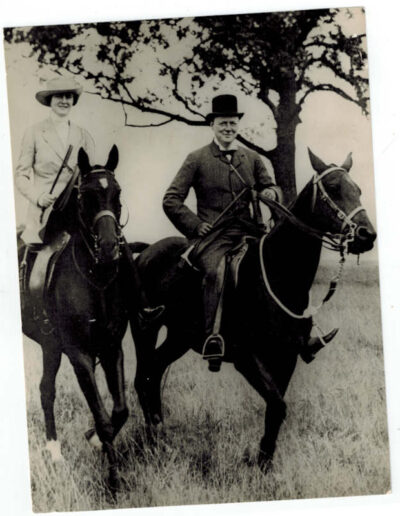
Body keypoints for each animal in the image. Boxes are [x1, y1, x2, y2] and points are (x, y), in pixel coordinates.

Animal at [18, 145, 134, 492]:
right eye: (86, 196)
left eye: (117, 193)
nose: (109, 248)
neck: (95, 281)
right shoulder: (79, 355)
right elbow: (103, 418)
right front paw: (113, 481)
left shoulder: (111, 349)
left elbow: (120, 411)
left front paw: (93, 440)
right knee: (47, 392)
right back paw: (55, 454)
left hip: (50, 346)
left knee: (46, 390)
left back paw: (55, 453)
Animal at [131, 148, 376, 472]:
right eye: (334, 188)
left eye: (357, 189)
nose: (367, 235)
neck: (276, 273)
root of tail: (144, 252)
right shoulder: (247, 358)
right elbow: (278, 405)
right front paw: (261, 463)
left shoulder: (286, 357)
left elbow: (275, 408)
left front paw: (264, 462)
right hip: (144, 329)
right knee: (143, 377)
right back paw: (153, 441)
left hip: (179, 337)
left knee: (155, 371)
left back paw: (161, 435)